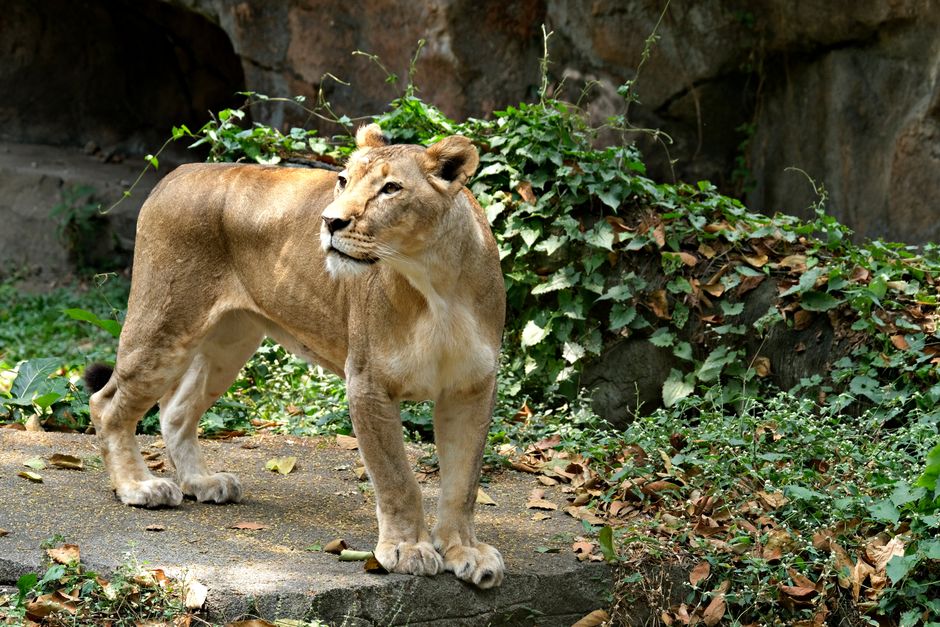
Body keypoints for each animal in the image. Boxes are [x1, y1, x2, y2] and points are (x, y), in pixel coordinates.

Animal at [83, 124, 506, 588]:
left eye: (391, 189)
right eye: (343, 181)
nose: (330, 221)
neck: (435, 281)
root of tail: (178, 173)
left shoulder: (471, 388)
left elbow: (463, 482)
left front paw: (464, 552)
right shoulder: (368, 383)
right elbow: (397, 477)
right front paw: (406, 549)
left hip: (229, 342)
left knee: (175, 410)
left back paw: (203, 482)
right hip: (165, 325)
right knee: (107, 403)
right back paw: (139, 487)